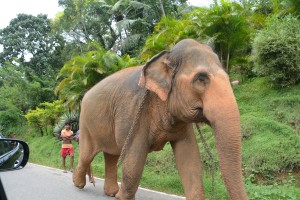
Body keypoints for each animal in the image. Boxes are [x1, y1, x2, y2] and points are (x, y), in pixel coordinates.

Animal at [72, 38, 248, 199]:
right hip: (85, 123)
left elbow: (190, 157)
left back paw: (111, 192)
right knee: (87, 155)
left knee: (111, 155)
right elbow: (134, 158)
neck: (166, 56)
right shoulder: (132, 111)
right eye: (201, 78)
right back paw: (78, 184)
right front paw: (122, 198)